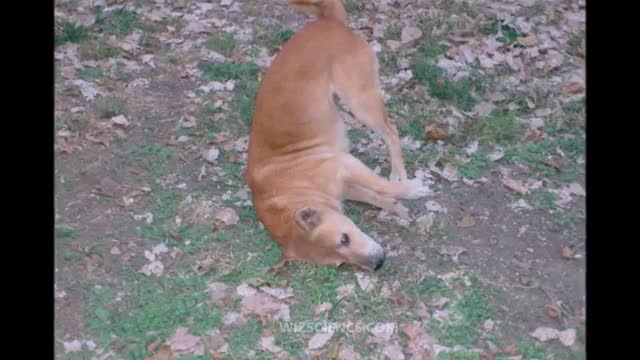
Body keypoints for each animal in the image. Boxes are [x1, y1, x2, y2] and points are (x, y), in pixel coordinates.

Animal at [245, 0, 430, 270]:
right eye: (341, 262)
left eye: (344, 239)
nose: (377, 264)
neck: (289, 190)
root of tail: (328, 21)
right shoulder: (343, 185)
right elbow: (373, 195)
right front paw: (395, 207)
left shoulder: (344, 163)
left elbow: (381, 186)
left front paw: (409, 190)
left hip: (360, 103)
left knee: (391, 131)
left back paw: (398, 172)